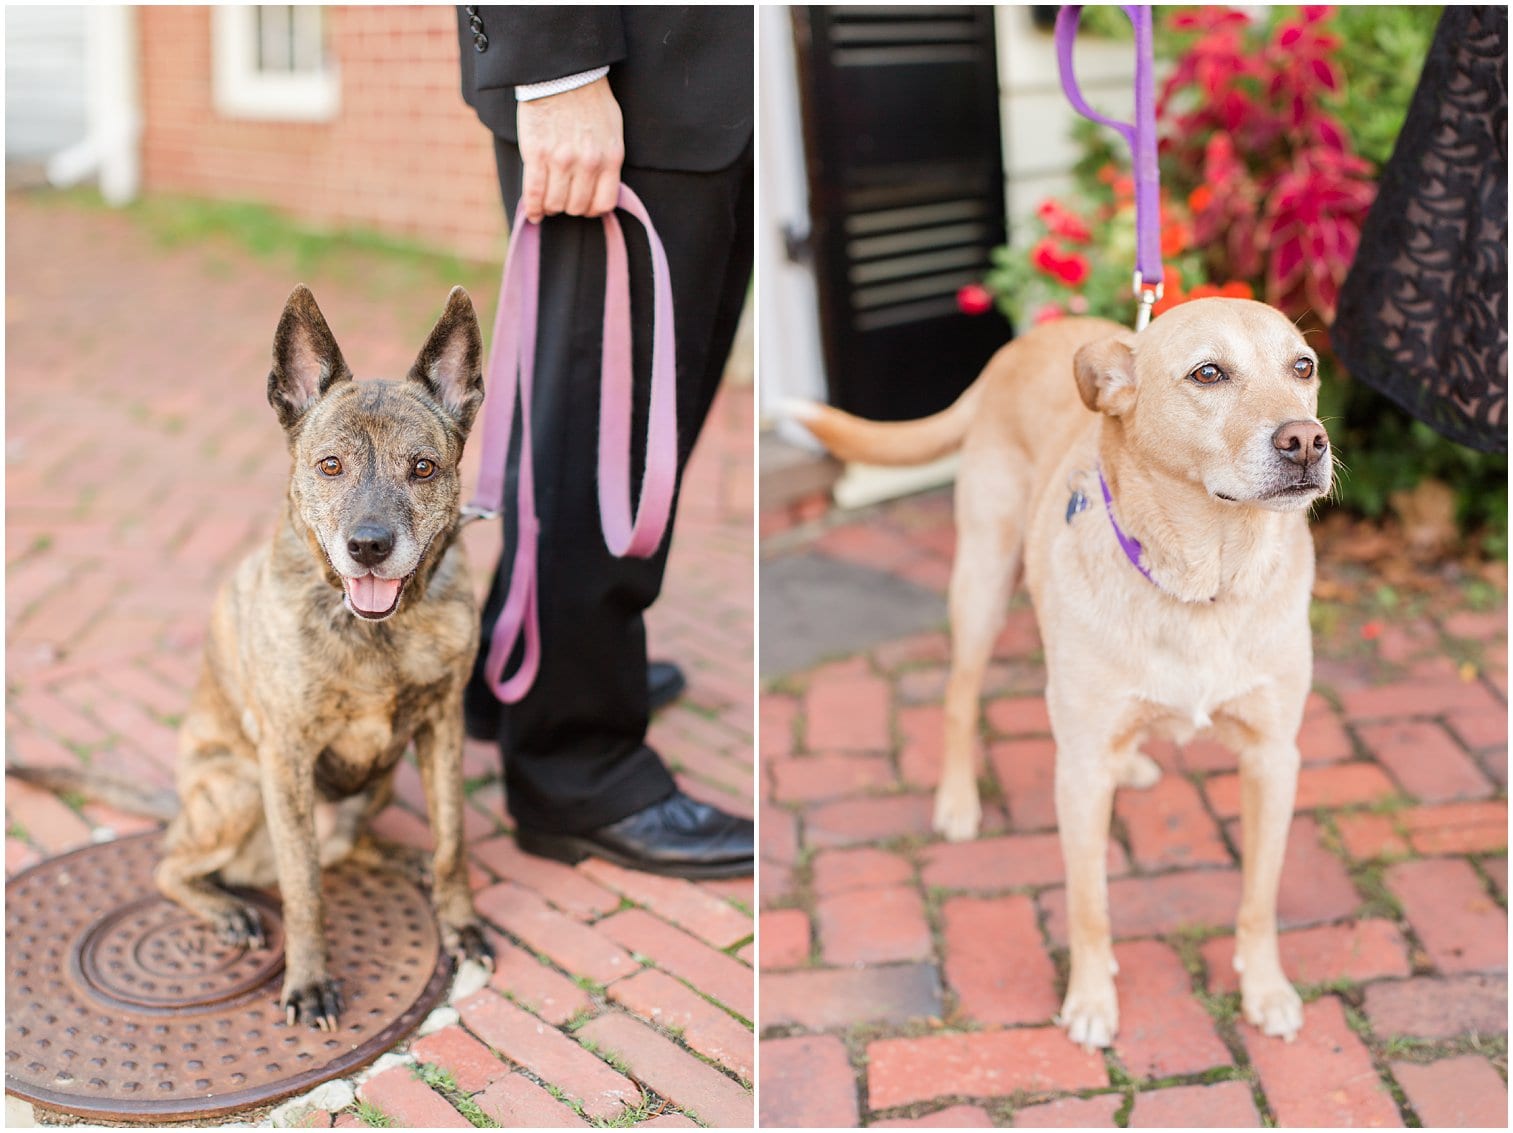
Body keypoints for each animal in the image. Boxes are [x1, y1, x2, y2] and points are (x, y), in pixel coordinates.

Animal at [151, 284, 490, 1022]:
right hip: (240, 789)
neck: (378, 630)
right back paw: (226, 908)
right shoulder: (286, 756)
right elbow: (302, 886)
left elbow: (453, 839)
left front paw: (460, 921)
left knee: (351, 846)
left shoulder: (442, 724)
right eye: (329, 465)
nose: (368, 545)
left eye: (423, 468)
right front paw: (308, 981)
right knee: (170, 863)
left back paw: (404, 860)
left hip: (380, 777)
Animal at [798, 297, 1331, 1040]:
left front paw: (1265, 987)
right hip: (982, 582)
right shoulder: (1076, 777)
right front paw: (1091, 1001)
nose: (1306, 440)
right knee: (959, 698)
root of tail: (1025, 342)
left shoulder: (1273, 757)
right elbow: (1089, 905)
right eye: (1208, 373)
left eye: (1302, 367)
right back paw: (958, 801)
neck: (1203, 582)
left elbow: (1259, 896)